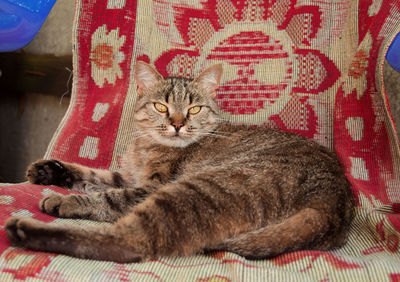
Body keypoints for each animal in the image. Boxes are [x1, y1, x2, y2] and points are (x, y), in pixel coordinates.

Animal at [4, 61, 354, 262]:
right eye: (161, 106)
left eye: (194, 109)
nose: (176, 123)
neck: (147, 146)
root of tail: (334, 202)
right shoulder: (130, 177)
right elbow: (94, 175)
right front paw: (49, 170)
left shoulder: (147, 188)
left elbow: (106, 196)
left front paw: (65, 200)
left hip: (195, 191)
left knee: (126, 244)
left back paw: (25, 231)